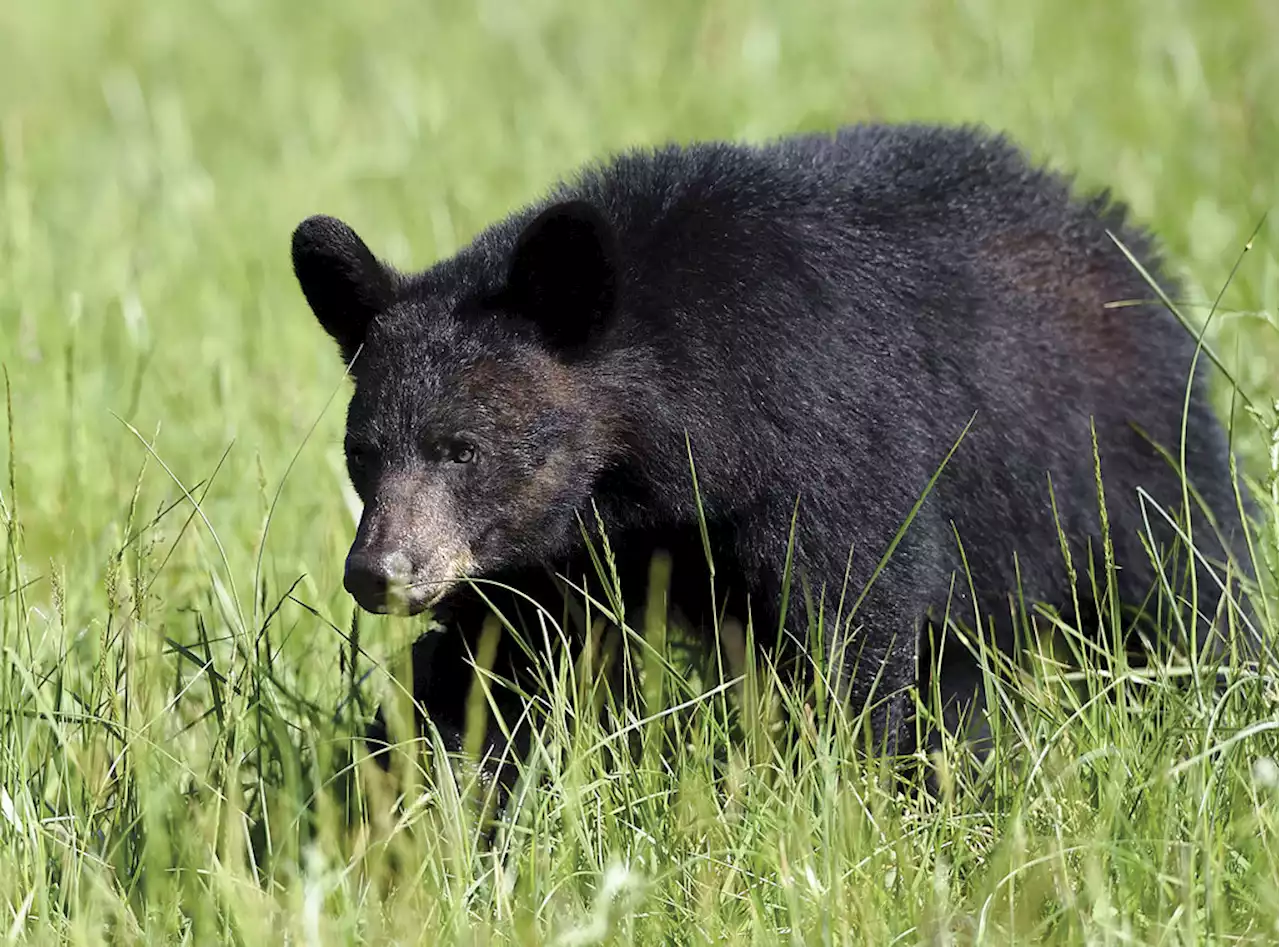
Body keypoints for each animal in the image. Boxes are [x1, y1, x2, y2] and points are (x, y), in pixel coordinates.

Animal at [288, 120, 1249, 767]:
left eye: (463, 448)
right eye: (362, 452)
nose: (378, 570)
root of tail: (1116, 230)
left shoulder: (833, 450)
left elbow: (857, 627)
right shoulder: (548, 556)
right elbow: (493, 671)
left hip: (1124, 451)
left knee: (1189, 587)